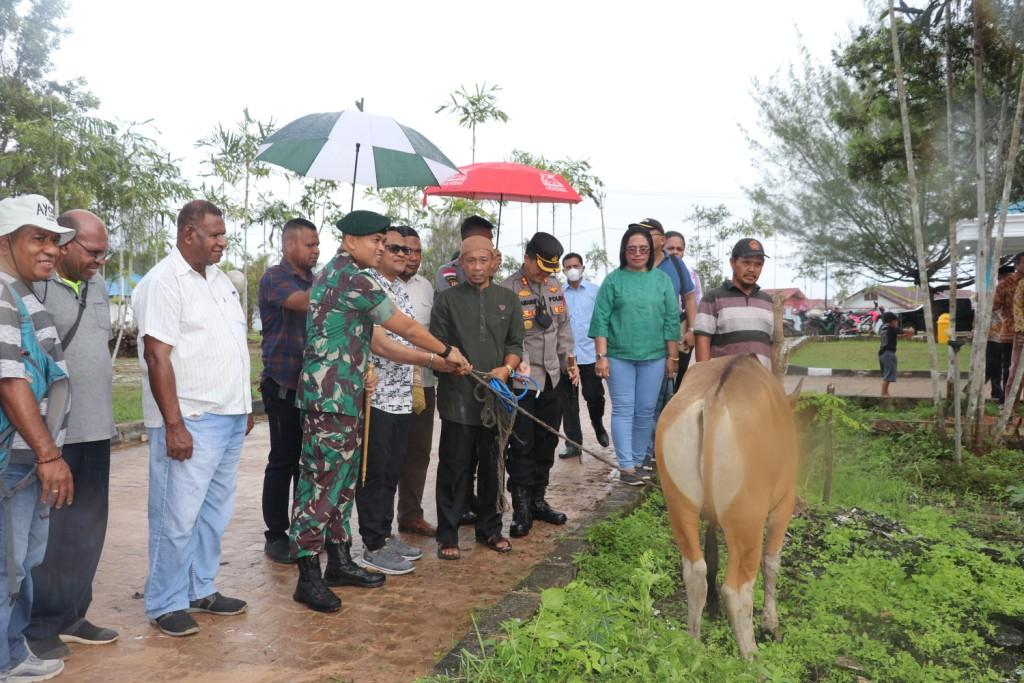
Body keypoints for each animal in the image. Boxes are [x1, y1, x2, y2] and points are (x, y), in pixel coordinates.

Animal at [655, 352, 798, 655]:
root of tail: (713, 402)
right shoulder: (784, 502)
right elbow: (772, 561)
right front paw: (771, 625)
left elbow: (712, 554)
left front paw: (711, 608)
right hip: (747, 519)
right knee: (737, 589)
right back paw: (752, 656)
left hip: (678, 503)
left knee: (694, 569)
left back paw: (694, 644)